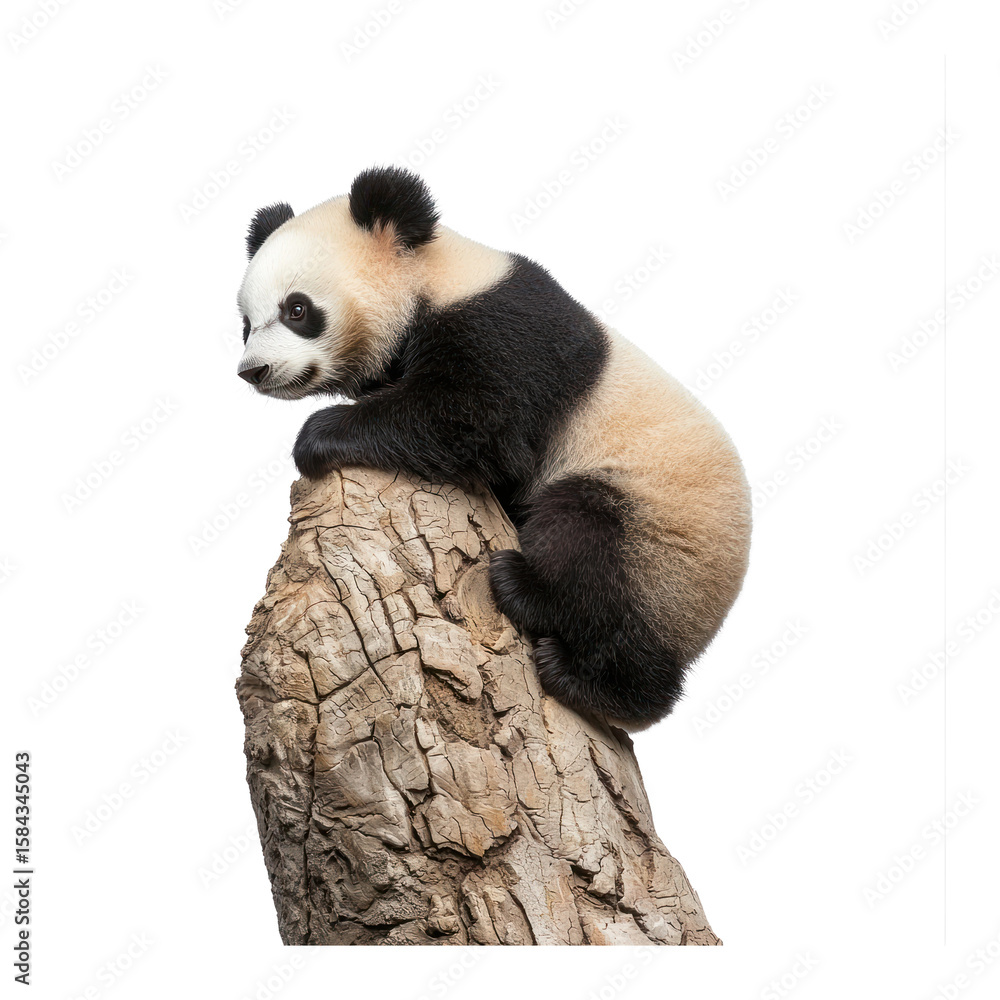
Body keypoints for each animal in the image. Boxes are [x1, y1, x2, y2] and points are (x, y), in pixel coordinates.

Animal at [236, 166, 751, 730]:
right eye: (246, 323)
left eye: (298, 310)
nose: (254, 371)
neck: (434, 275)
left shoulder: (505, 332)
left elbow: (477, 421)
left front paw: (321, 434)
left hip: (661, 530)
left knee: (590, 542)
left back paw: (561, 642)